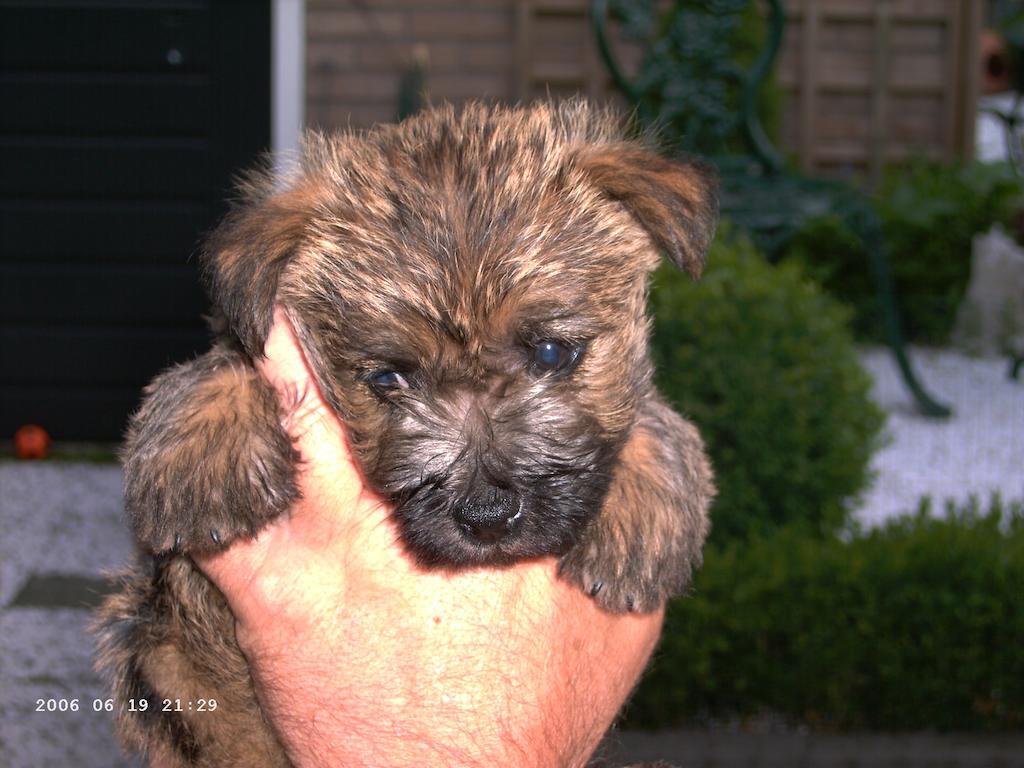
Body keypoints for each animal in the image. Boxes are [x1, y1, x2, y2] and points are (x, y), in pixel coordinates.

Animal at [97, 102, 720, 768]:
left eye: (552, 352)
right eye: (389, 378)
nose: (486, 514)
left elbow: (662, 421)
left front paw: (640, 522)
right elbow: (226, 360)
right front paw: (199, 460)